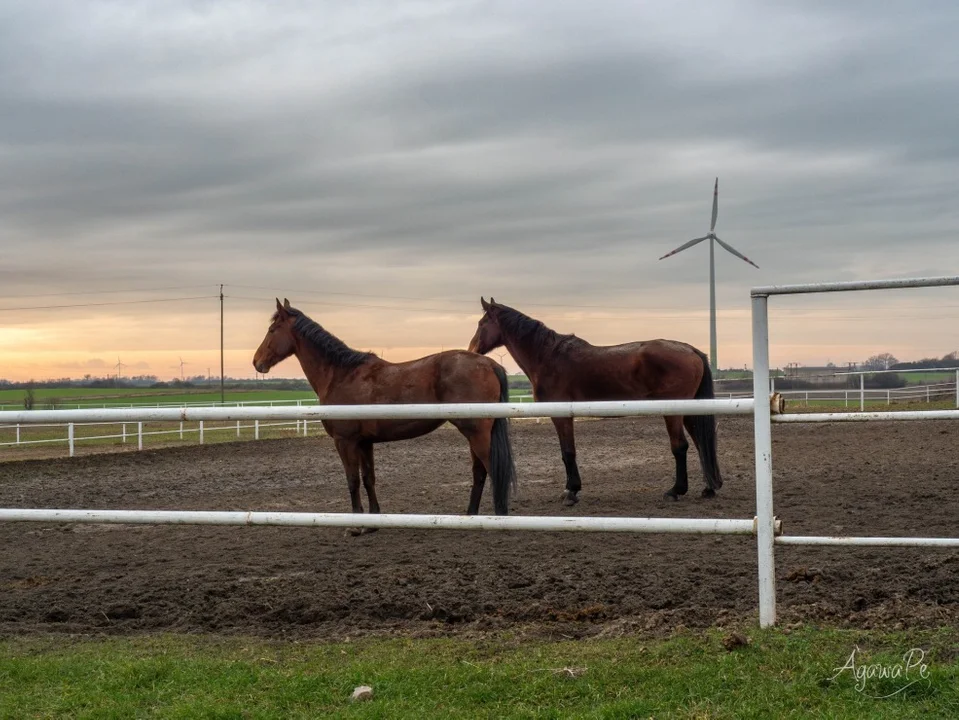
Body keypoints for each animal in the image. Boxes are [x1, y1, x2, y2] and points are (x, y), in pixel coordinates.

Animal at [251, 298, 512, 524]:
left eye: (272, 330)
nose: (256, 362)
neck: (341, 374)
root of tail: (490, 364)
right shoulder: (364, 442)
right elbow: (369, 479)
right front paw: (373, 520)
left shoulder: (345, 441)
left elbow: (353, 480)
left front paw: (356, 525)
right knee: (479, 472)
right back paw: (471, 517)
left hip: (477, 433)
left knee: (493, 469)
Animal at [464, 298, 720, 506]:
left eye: (481, 323)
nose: (471, 350)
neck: (548, 357)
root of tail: (691, 350)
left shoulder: (561, 416)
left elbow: (568, 452)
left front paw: (571, 492)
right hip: (689, 411)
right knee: (701, 443)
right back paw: (709, 487)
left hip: (674, 411)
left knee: (681, 446)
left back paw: (676, 491)